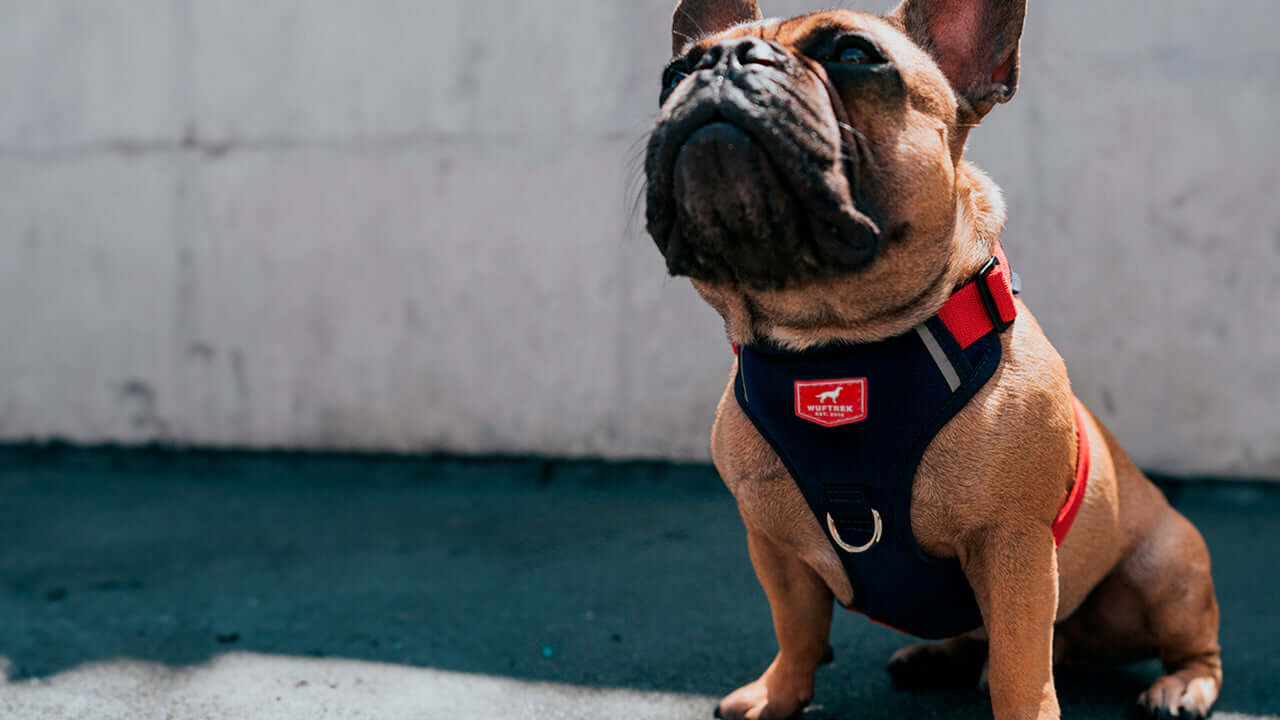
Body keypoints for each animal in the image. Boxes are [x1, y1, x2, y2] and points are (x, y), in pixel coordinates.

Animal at [645, 1, 1223, 717]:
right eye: (673, 75)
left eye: (854, 55)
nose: (723, 62)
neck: (836, 346)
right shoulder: (773, 546)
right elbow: (797, 626)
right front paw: (778, 694)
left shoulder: (1014, 545)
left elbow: (1020, 667)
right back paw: (939, 656)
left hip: (1168, 563)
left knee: (1180, 643)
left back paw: (1183, 685)